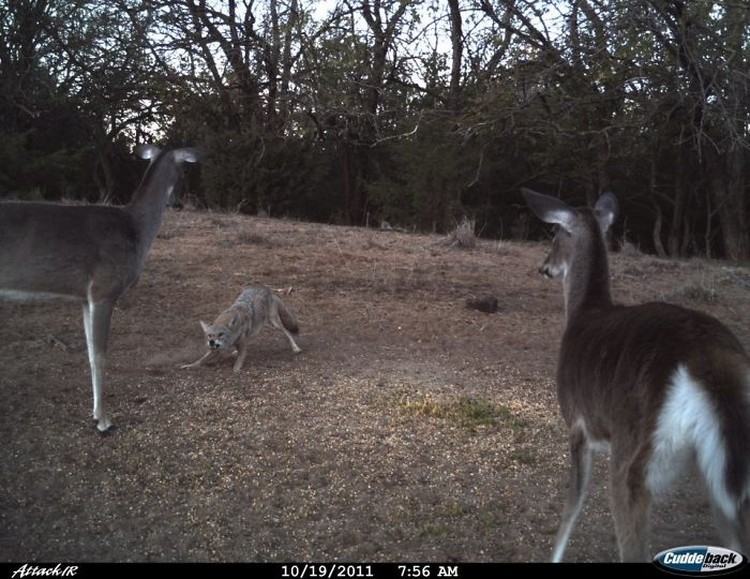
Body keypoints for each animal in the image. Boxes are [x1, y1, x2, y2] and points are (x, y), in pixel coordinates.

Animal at [0, 145, 204, 436]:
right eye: (184, 171)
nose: (179, 203)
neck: (135, 230)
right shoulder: (104, 290)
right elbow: (99, 356)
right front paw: (104, 420)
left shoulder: (86, 298)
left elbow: (88, 352)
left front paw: (96, 413)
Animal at [524, 189, 750, 560]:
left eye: (555, 233)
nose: (544, 267)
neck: (583, 313)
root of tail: (705, 358)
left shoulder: (578, 423)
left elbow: (573, 503)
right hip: (722, 473)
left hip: (634, 452)